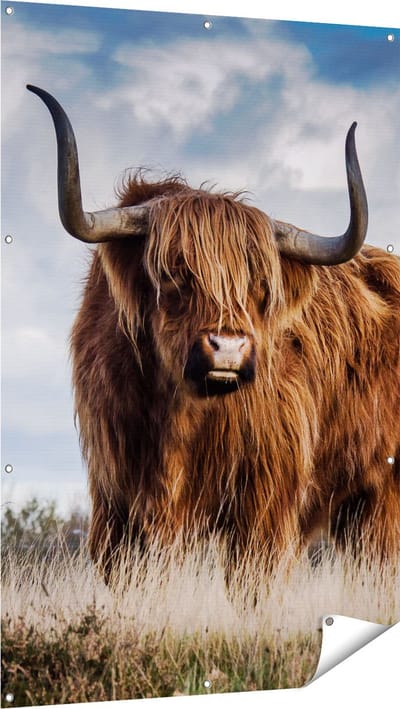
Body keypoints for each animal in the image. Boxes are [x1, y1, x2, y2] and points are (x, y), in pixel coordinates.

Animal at [28, 85, 400, 579]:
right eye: (173, 273)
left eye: (260, 285)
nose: (228, 348)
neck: (178, 415)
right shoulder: (117, 503)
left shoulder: (264, 503)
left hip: (382, 498)